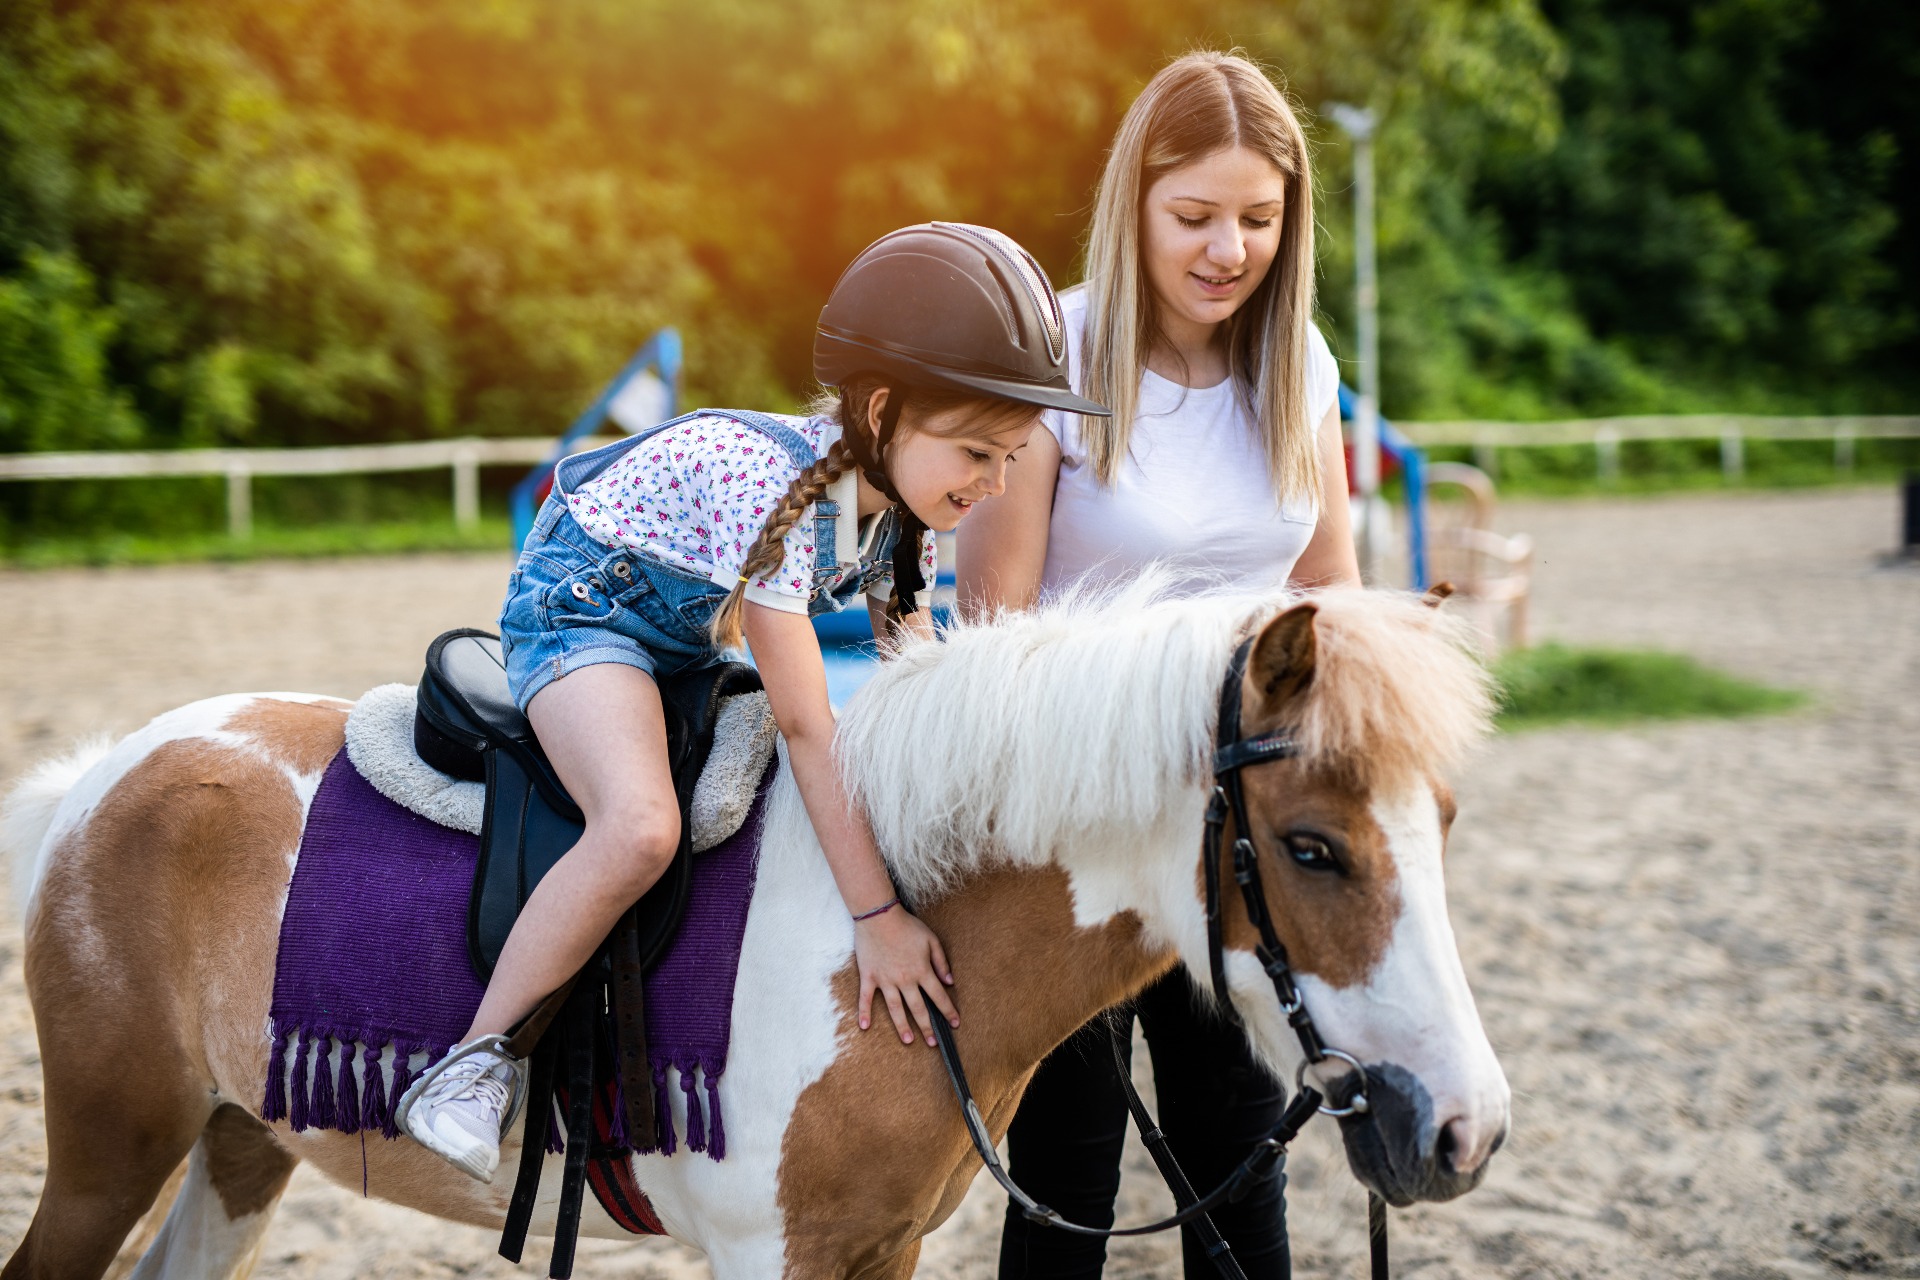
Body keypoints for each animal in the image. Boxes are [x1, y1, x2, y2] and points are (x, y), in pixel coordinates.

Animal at [0, 581, 1509, 1279]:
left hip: (238, 1137)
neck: (898, 932)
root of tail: (102, 777)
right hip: (113, 1141)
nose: (1467, 1130)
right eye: (1311, 846)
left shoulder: (881, 1247)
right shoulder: (767, 1252)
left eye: (1446, 820)